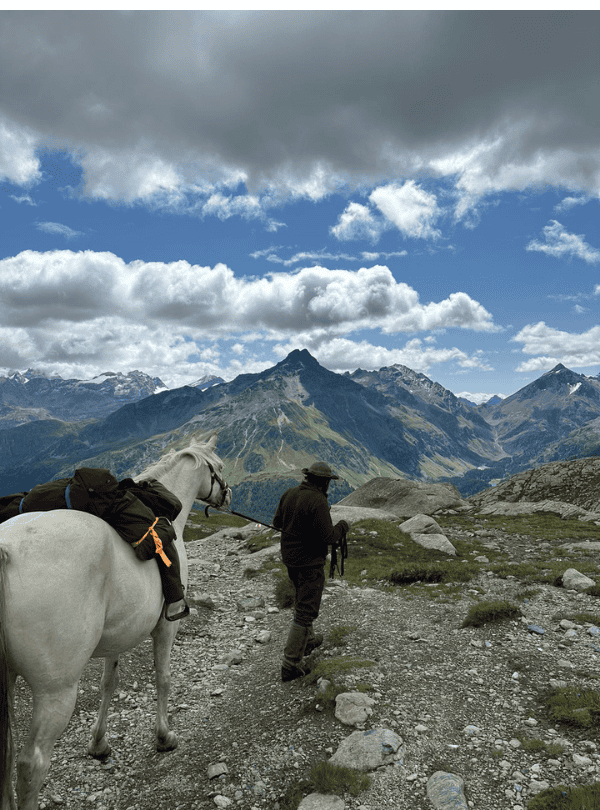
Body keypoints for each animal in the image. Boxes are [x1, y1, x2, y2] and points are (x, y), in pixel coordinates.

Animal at [0, 433, 231, 810]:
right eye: (221, 467)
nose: (228, 495)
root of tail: (7, 551)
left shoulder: (118, 635)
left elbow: (109, 683)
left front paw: (99, 744)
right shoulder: (166, 626)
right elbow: (163, 678)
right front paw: (164, 736)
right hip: (55, 691)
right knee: (31, 763)